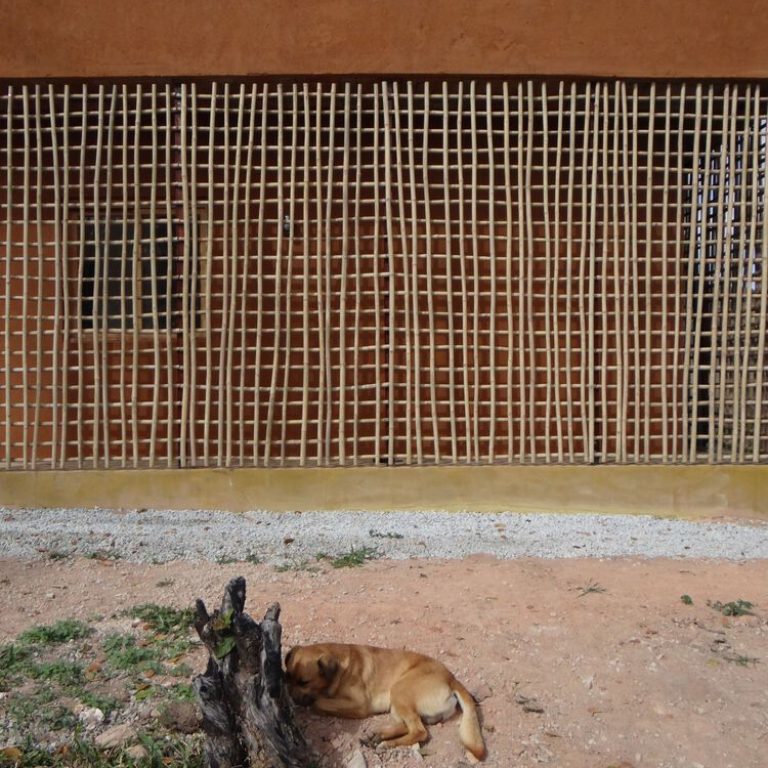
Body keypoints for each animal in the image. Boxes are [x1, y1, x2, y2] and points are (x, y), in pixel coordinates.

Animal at [282, 640, 486, 760]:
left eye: (304, 682)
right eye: (287, 677)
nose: (288, 697)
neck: (340, 664)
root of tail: (451, 679)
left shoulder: (360, 704)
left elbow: (317, 702)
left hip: (399, 690)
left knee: (419, 731)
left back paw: (387, 743)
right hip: (396, 702)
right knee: (409, 725)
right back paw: (378, 735)